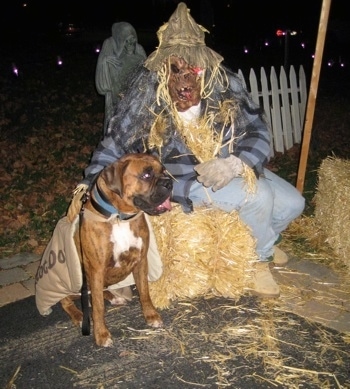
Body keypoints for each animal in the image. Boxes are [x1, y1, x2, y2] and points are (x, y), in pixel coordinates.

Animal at [62, 152, 174, 346]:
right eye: (146, 175)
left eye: (164, 170)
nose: (169, 182)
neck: (119, 218)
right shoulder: (97, 269)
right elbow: (98, 307)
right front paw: (101, 334)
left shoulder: (140, 261)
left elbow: (144, 292)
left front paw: (151, 315)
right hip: (73, 284)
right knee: (66, 301)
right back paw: (78, 315)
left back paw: (114, 297)